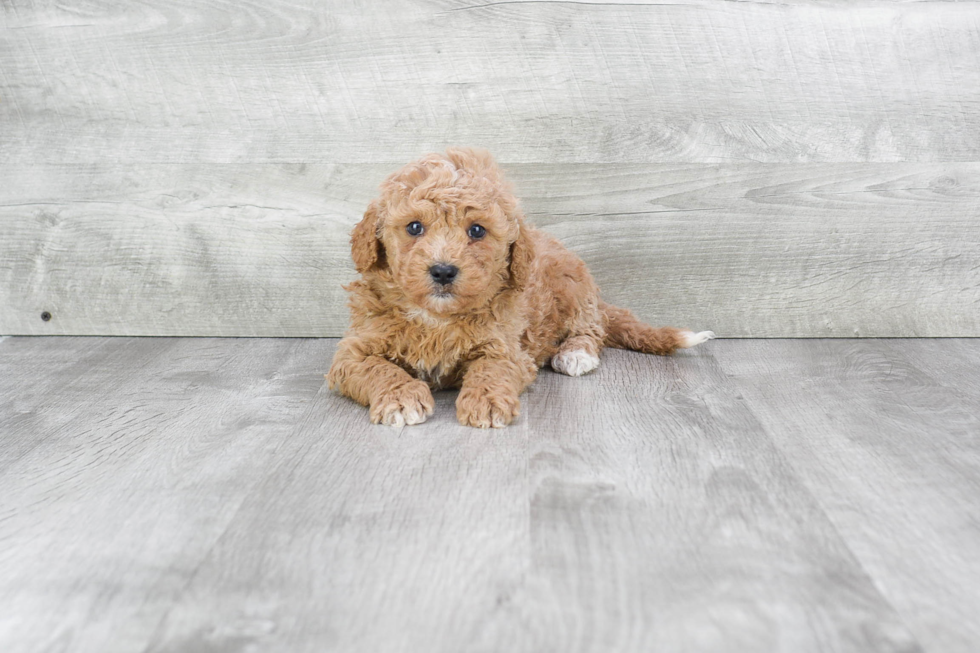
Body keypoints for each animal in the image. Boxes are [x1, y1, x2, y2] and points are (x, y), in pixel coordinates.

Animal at [330, 148, 712, 428]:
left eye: (477, 230)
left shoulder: (507, 347)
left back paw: (576, 353)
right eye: (413, 227)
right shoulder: (353, 351)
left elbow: (492, 368)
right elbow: (377, 367)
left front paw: (486, 401)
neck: (436, 318)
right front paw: (401, 397)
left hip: (576, 290)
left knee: (593, 330)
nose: (443, 271)